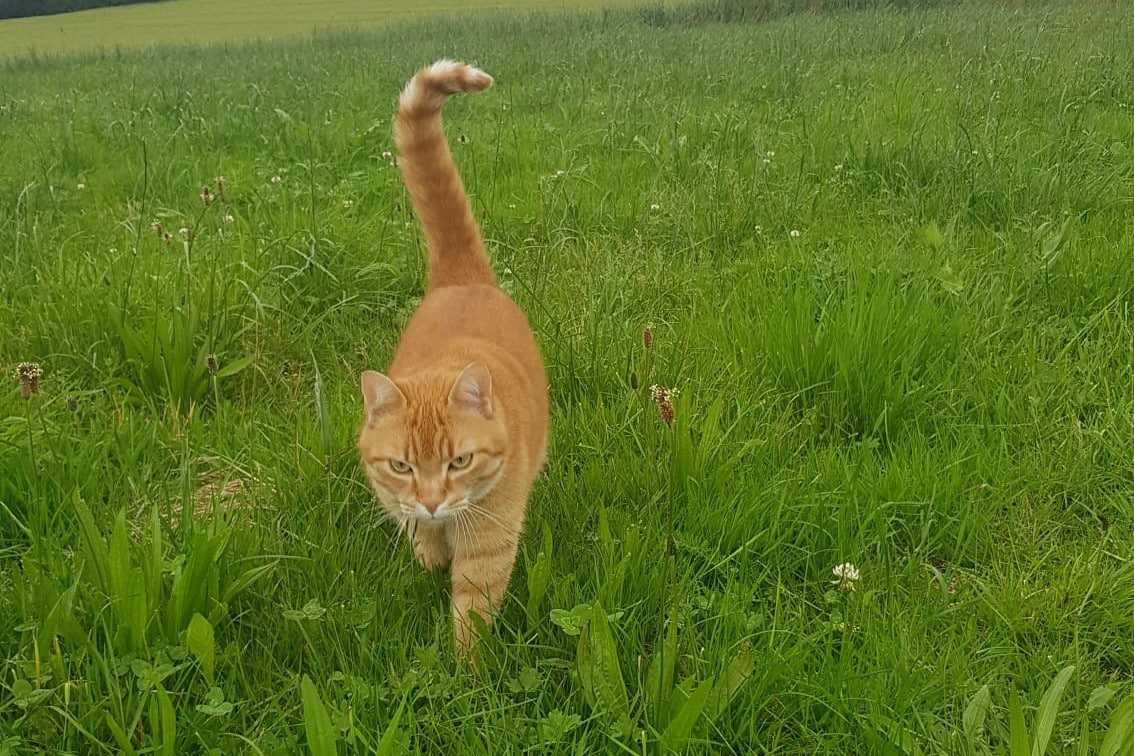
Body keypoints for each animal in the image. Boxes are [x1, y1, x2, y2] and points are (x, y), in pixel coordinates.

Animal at [356, 60, 546, 657]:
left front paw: (467, 673)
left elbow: (472, 614)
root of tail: (460, 277)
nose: (434, 502)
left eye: (459, 462)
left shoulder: (488, 543)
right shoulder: (401, 506)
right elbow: (423, 547)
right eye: (401, 467)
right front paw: (429, 561)